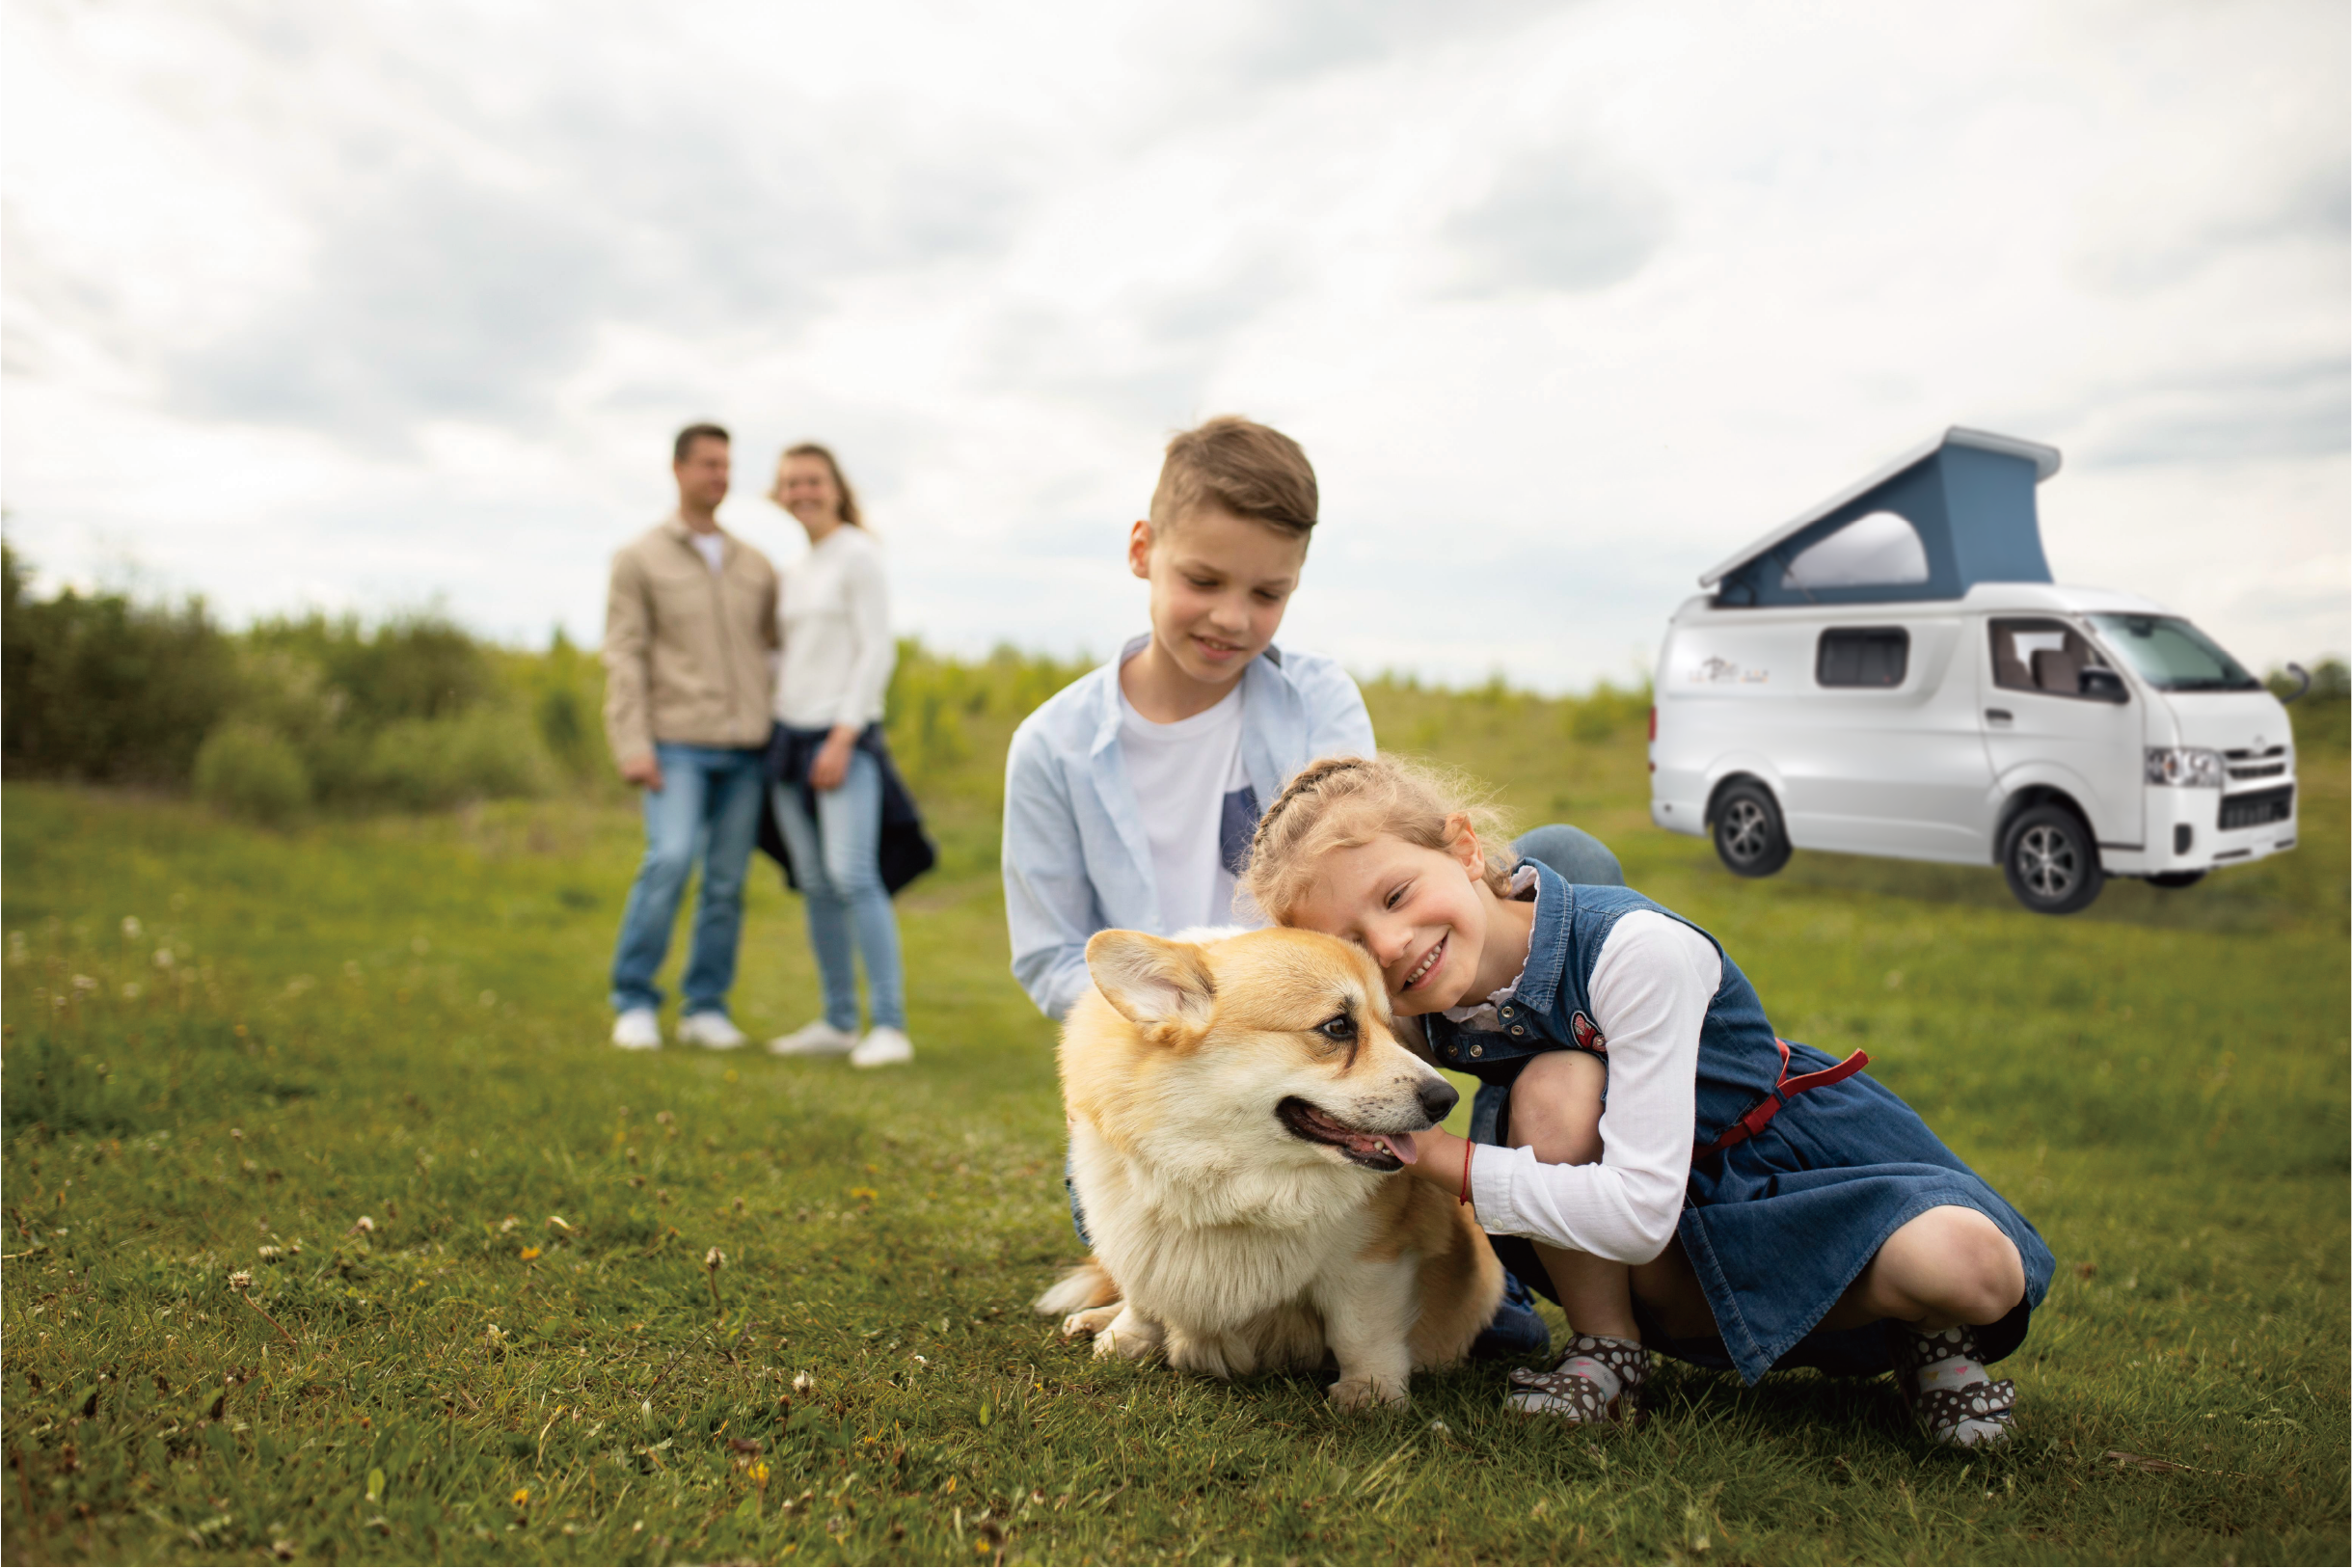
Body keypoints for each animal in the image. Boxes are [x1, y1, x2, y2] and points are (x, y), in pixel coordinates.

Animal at [1035, 926, 1504, 1400]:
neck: (1230, 1180)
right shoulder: (1138, 1242)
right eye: (1337, 1026)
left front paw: (1370, 1391)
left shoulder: (1372, 1260)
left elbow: (1361, 1330)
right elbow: (1142, 1298)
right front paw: (1124, 1339)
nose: (1446, 1100)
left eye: (1390, 1028)